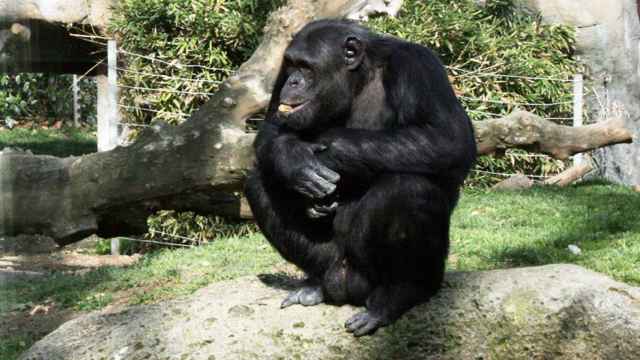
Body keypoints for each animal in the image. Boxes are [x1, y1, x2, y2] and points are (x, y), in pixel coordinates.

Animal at [245, 19, 476, 336]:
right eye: (291, 65)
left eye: (307, 67)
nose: (292, 82)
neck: (359, 81)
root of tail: (345, 287)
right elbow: (270, 130)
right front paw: (293, 159)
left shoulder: (418, 66)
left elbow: (447, 138)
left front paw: (327, 150)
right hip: (330, 261)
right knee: (258, 181)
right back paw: (315, 284)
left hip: (370, 274)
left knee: (410, 186)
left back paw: (400, 294)